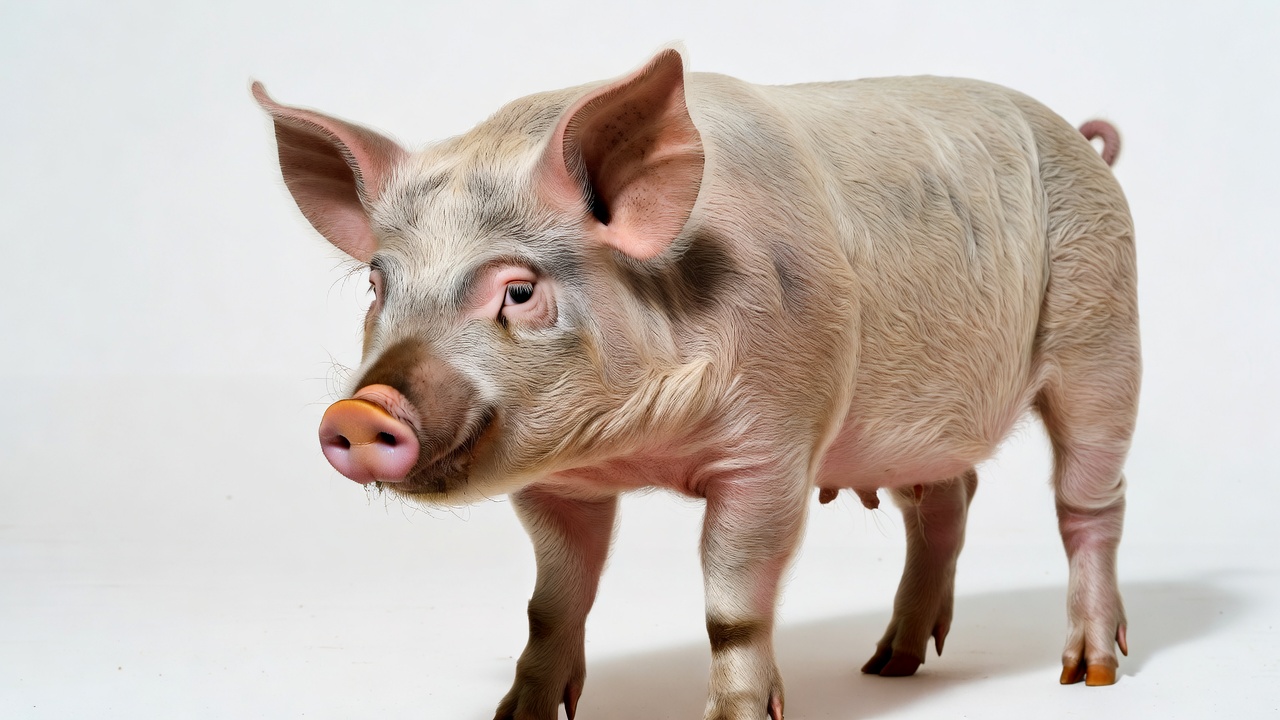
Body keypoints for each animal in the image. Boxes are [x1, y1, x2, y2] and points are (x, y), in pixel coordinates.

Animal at [254, 47, 1138, 720]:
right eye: (378, 285)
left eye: (519, 291)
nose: (361, 410)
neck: (638, 450)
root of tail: (1083, 142)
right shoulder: (556, 483)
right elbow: (552, 602)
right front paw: (520, 716)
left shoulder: (774, 447)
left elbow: (733, 607)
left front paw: (737, 717)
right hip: (914, 425)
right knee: (947, 502)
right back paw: (888, 666)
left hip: (1104, 329)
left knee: (1088, 501)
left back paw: (1089, 673)